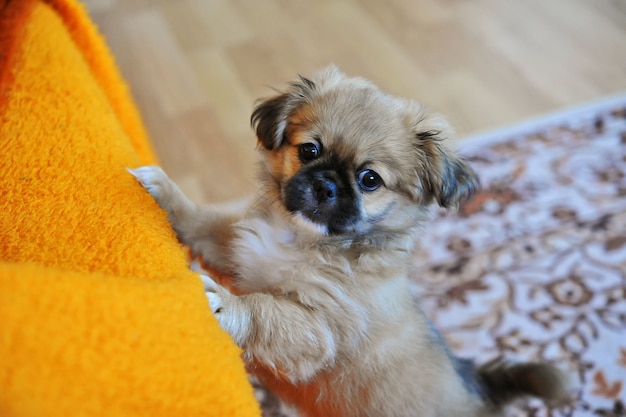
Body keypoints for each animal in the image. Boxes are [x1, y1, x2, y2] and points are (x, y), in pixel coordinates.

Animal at [129, 66, 568, 414]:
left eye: (369, 179)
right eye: (309, 150)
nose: (325, 185)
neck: (301, 239)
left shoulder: (319, 326)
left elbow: (265, 309)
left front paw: (223, 303)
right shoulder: (240, 248)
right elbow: (204, 223)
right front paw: (165, 193)